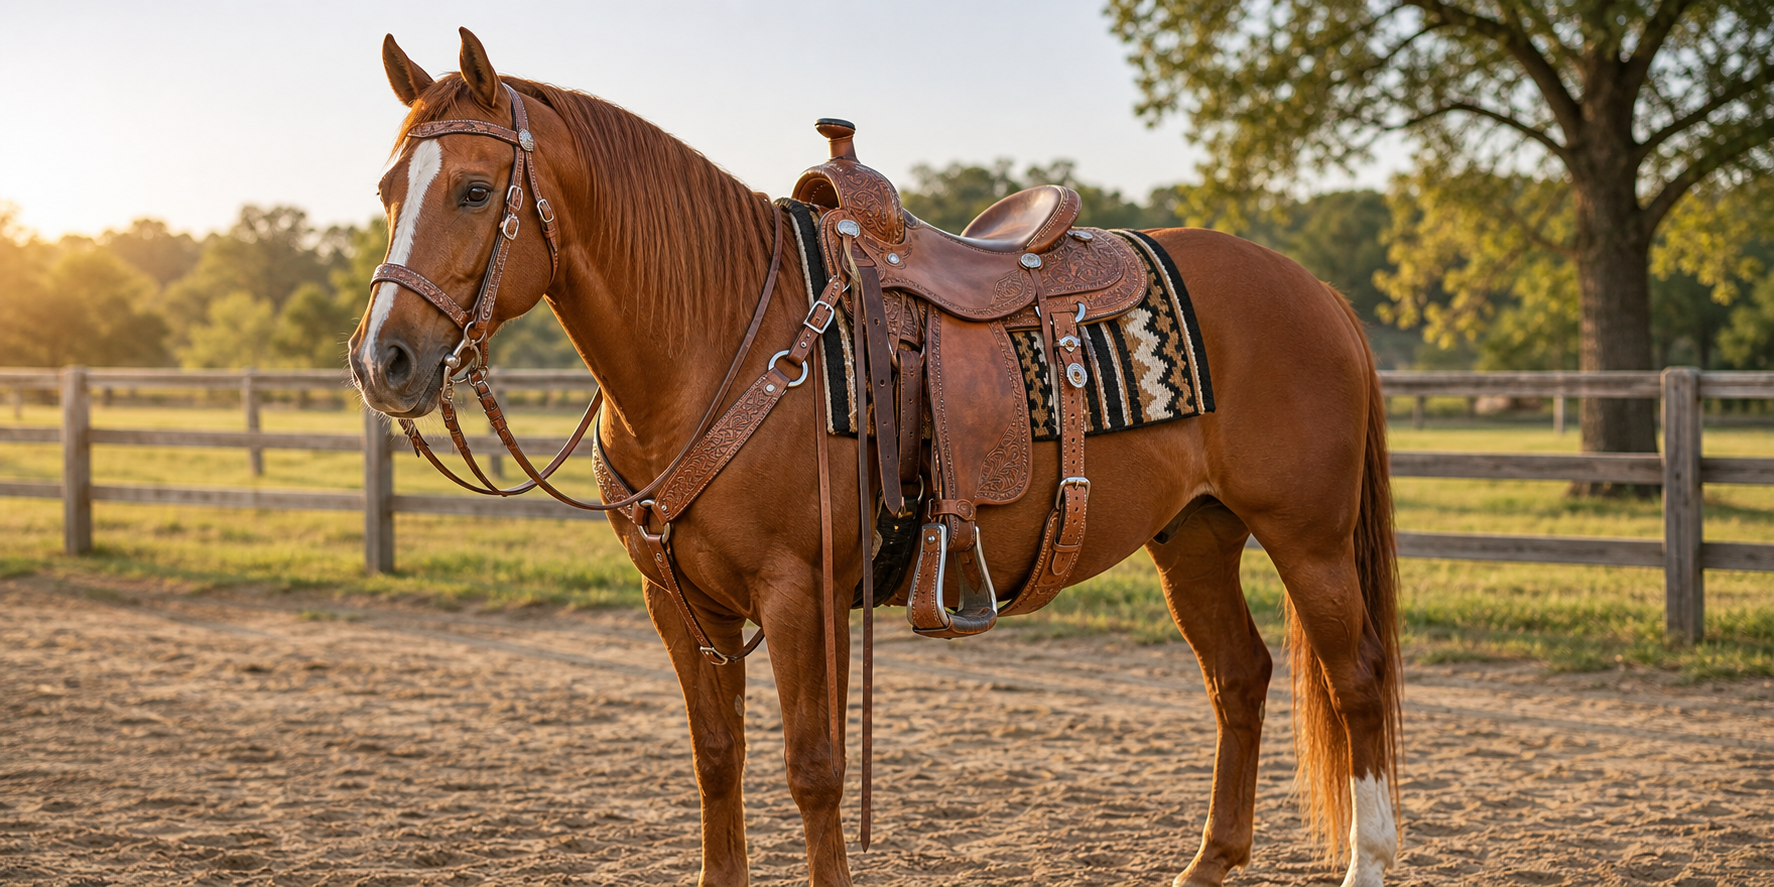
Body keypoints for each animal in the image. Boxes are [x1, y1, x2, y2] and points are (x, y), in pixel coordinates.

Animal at [348, 28, 1403, 887]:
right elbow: (717, 759)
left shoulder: (799, 592)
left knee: (1354, 679)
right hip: (1194, 535)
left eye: (475, 190)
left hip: (1308, 538)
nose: (382, 359)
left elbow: (813, 769)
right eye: (389, 190)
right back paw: (1209, 859)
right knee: (1242, 676)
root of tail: (1316, 290)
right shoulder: (678, 601)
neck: (717, 340)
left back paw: (1367, 859)